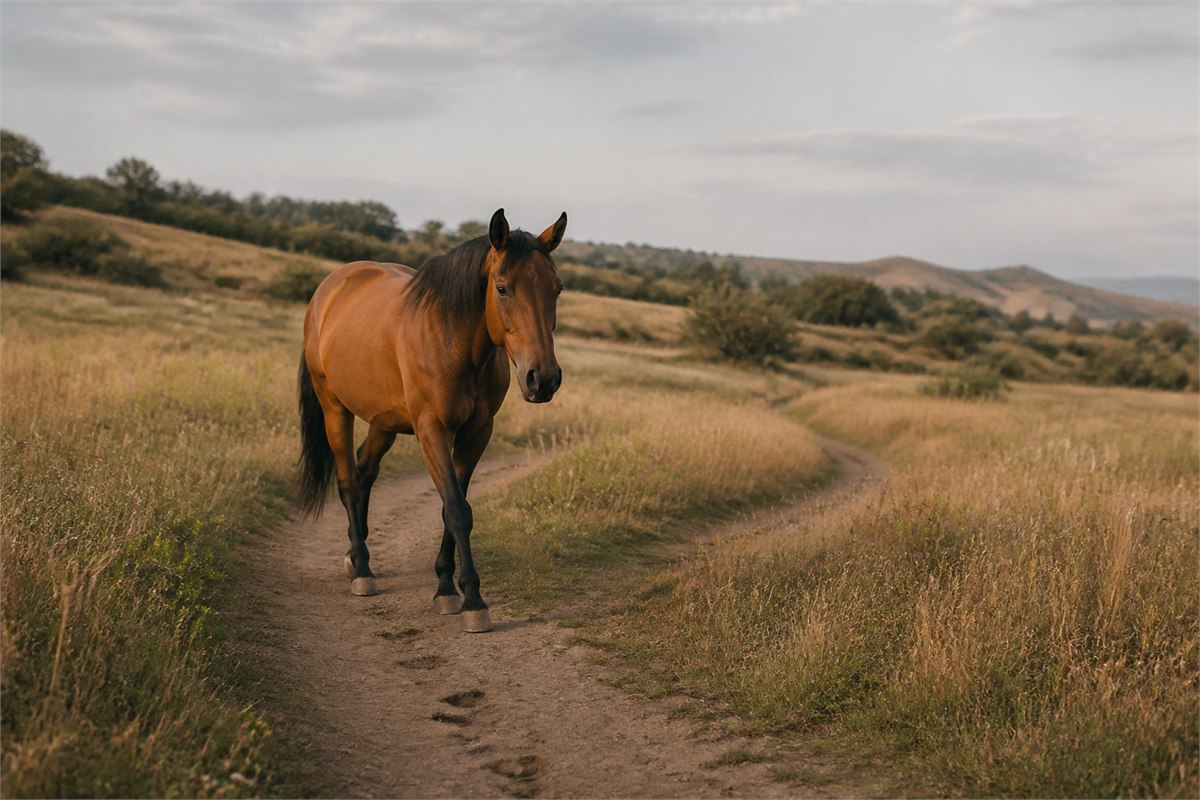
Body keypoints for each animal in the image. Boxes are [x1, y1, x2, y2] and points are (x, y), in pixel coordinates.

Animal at [296, 208, 566, 633]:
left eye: (557, 289)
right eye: (503, 288)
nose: (544, 379)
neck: (454, 341)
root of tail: (332, 286)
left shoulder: (476, 434)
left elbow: (452, 508)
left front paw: (445, 587)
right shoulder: (432, 431)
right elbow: (456, 509)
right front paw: (473, 601)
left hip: (383, 421)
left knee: (365, 469)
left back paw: (357, 555)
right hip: (334, 408)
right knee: (349, 481)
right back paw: (363, 570)